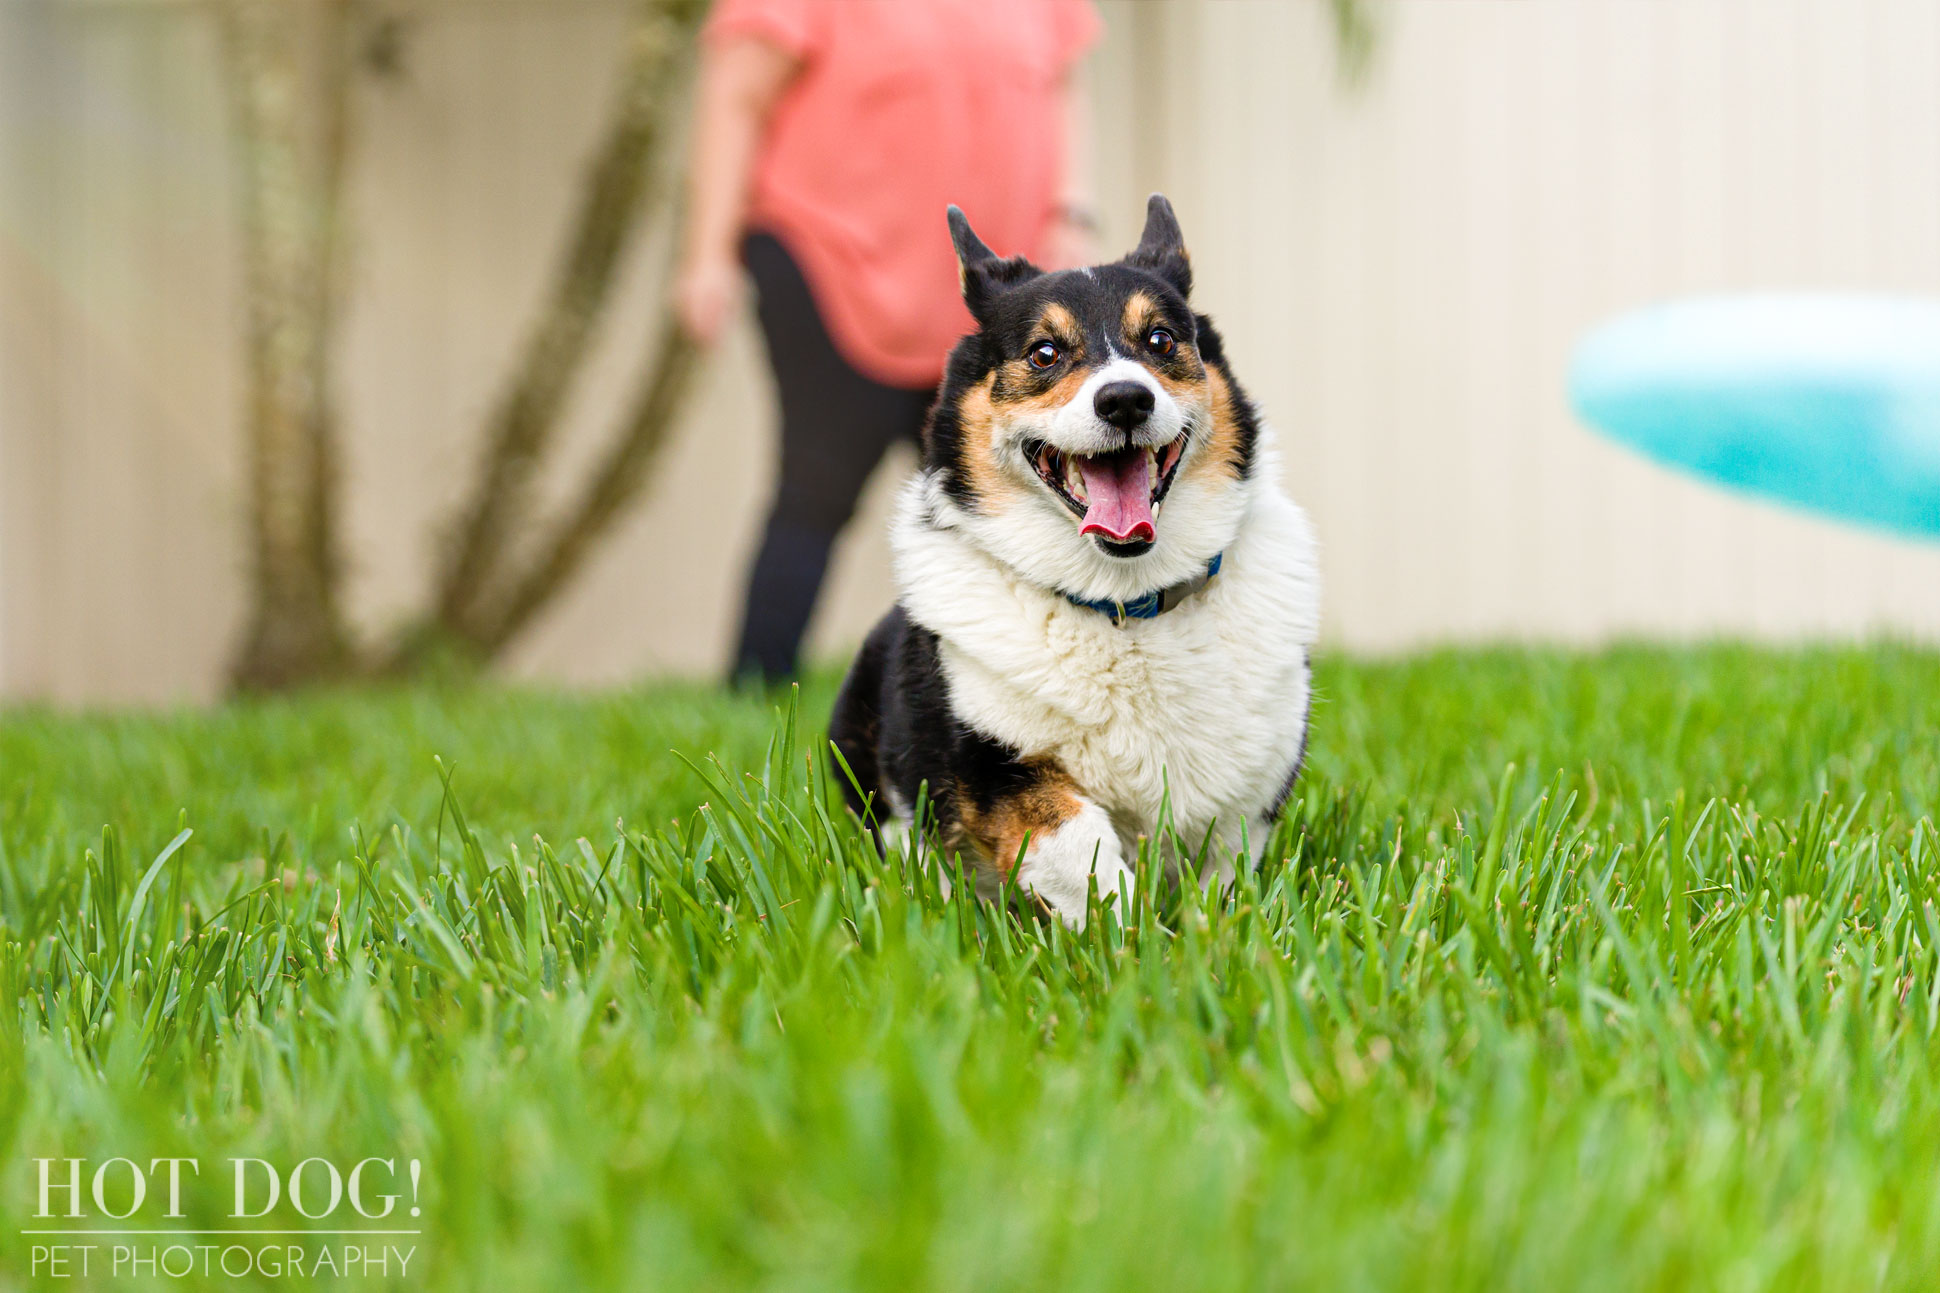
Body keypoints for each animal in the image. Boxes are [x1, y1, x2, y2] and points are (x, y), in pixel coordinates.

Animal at [830, 194, 1319, 928]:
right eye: (1045, 353)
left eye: (1161, 341)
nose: (1125, 400)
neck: (1124, 600)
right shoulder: (1001, 775)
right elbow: (1083, 850)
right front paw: (1134, 937)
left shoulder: (1248, 798)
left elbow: (1221, 881)